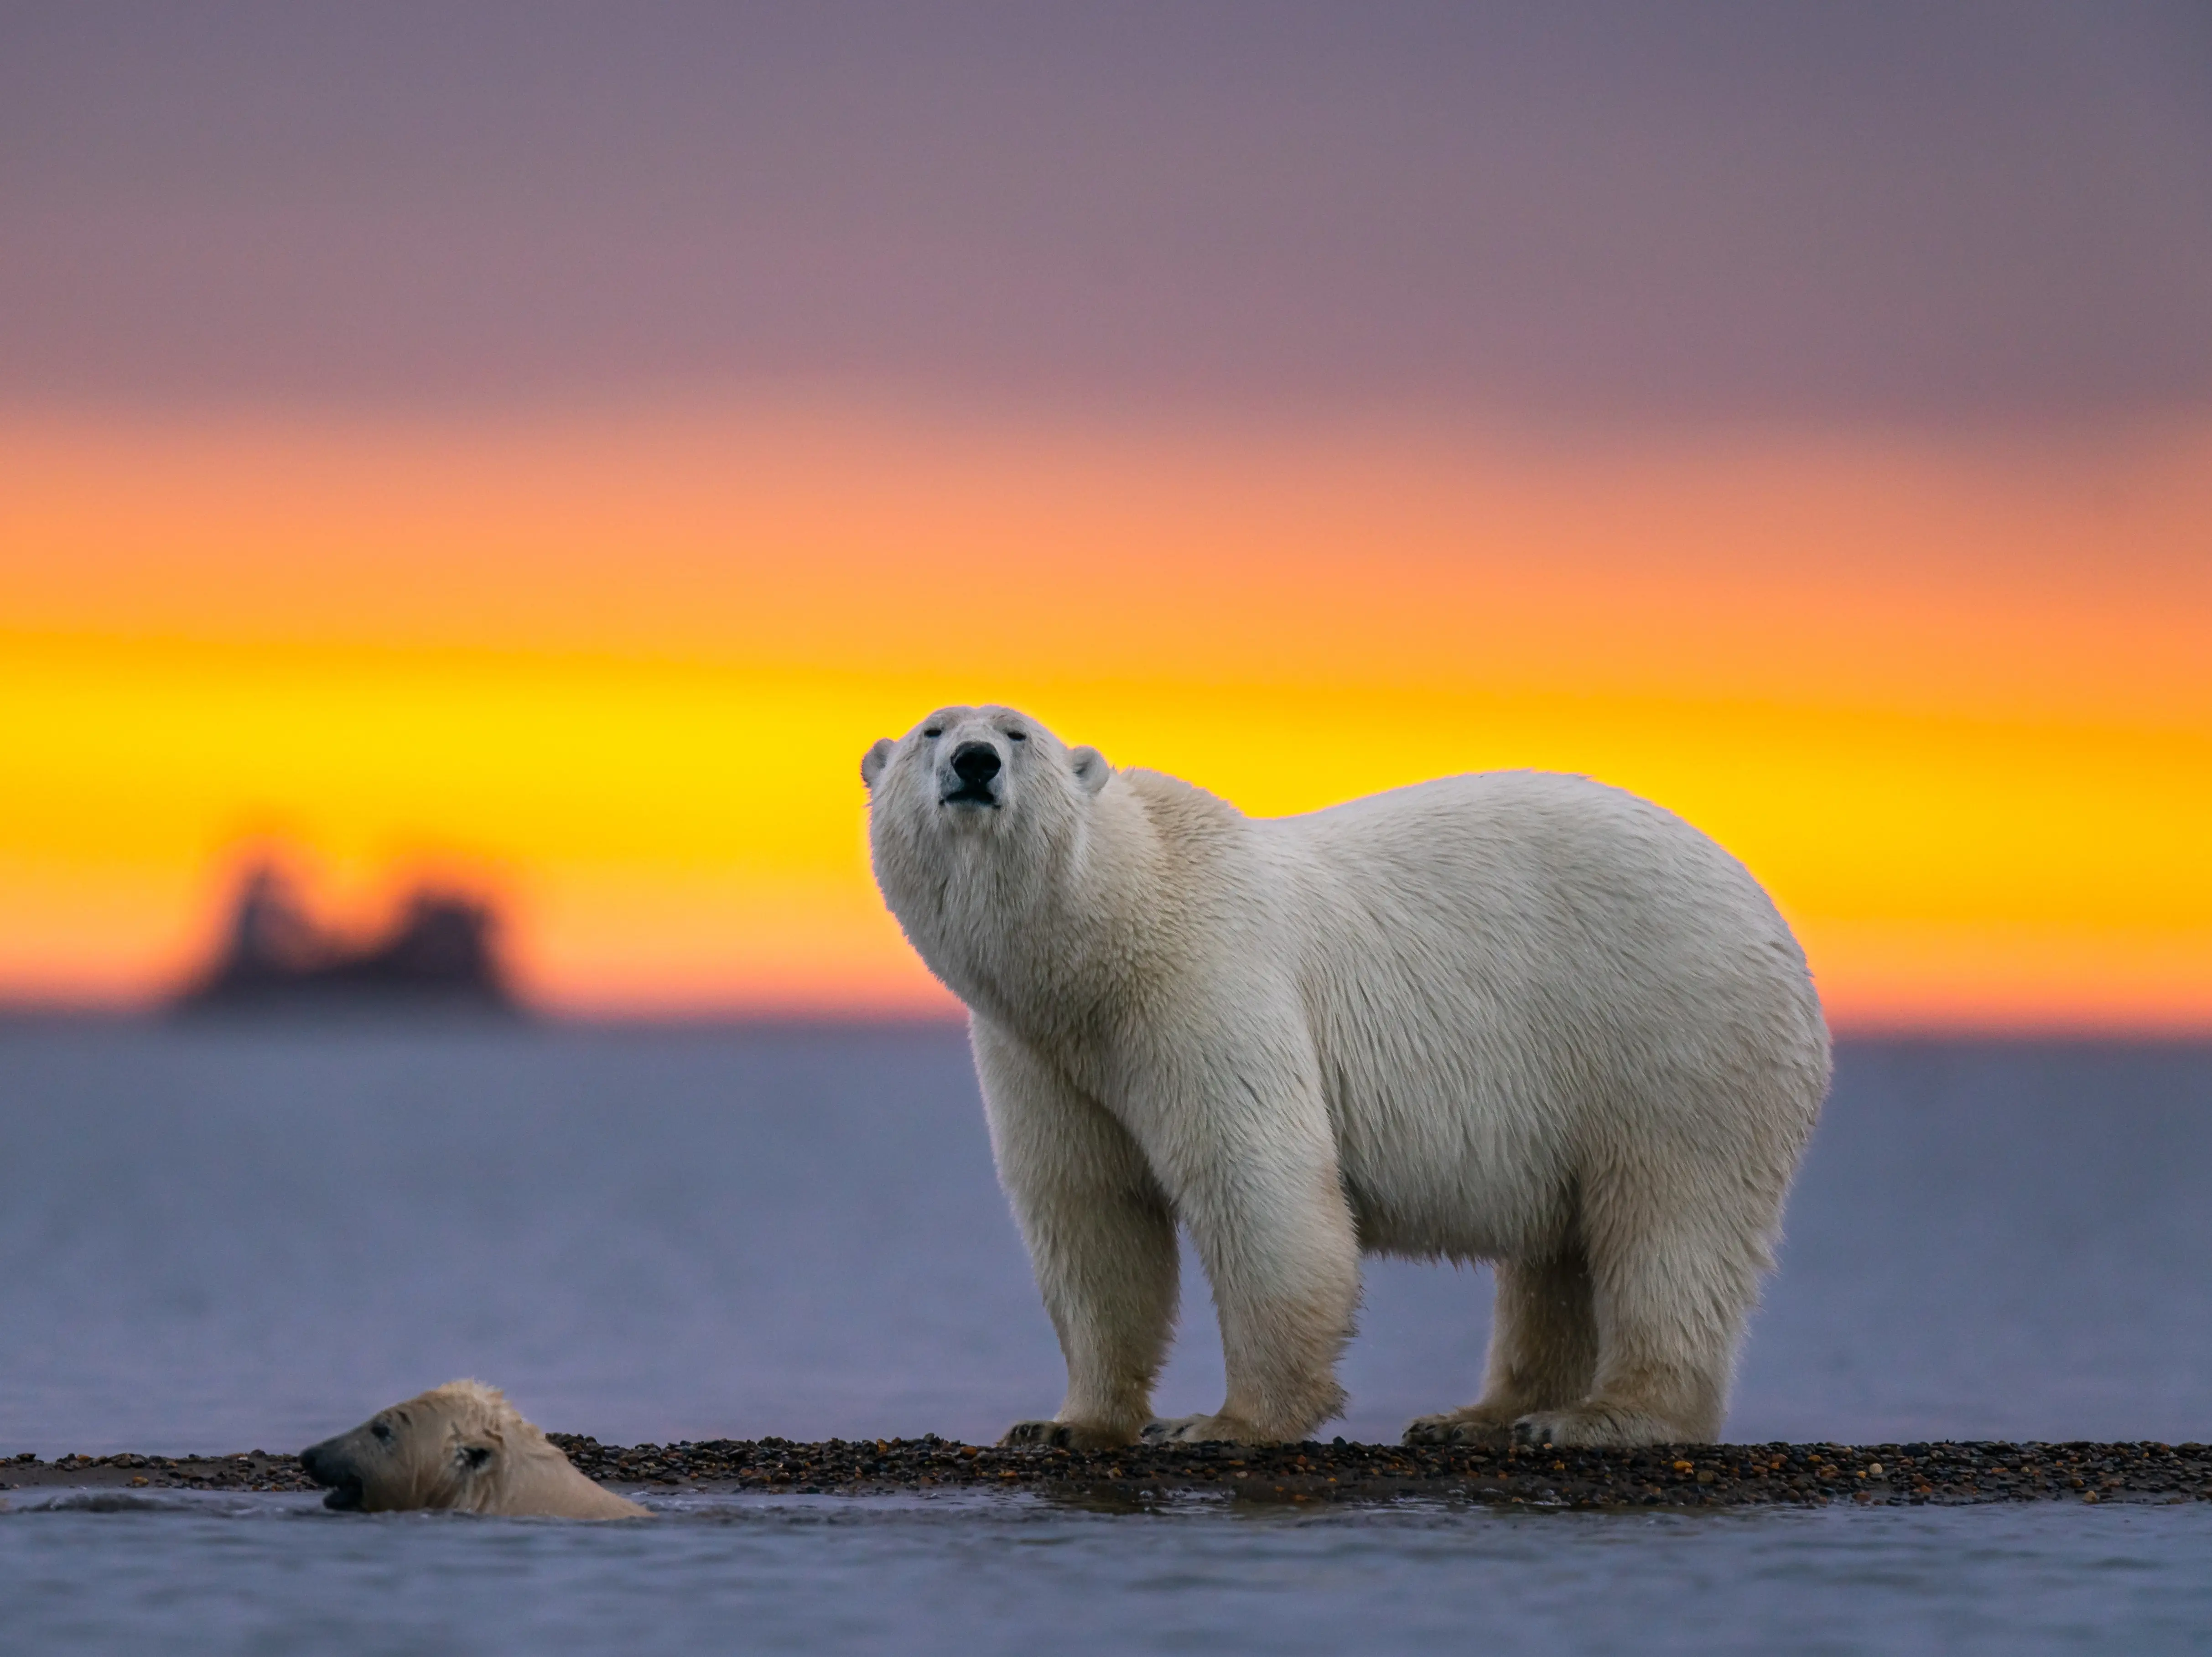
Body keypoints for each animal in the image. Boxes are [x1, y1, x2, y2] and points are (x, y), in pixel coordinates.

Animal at [863, 705, 1829, 1450]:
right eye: (933, 729)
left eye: (1017, 732)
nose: (974, 762)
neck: (1107, 937)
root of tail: (1777, 926)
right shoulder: (1042, 1053)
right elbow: (1090, 1211)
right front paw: (1066, 1422)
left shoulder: (1207, 981)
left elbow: (1259, 1182)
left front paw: (1225, 1423)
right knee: (1559, 1253)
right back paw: (1479, 1415)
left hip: (1674, 1035)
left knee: (1671, 1222)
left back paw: (1601, 1416)